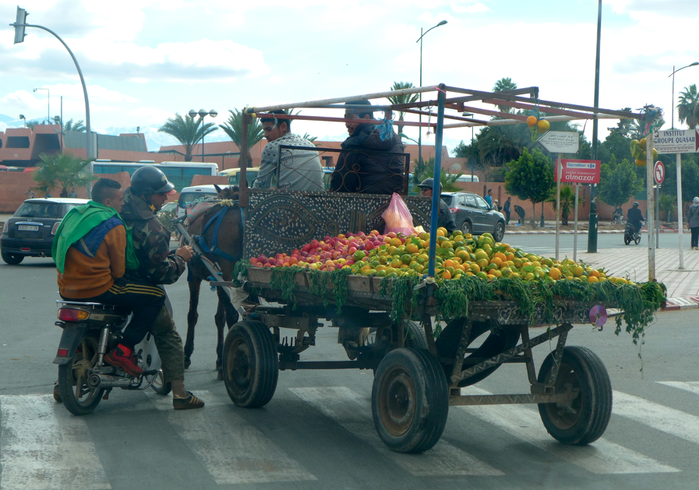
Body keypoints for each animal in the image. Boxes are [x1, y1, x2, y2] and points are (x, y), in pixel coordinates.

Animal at [182, 184, 245, 378]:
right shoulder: (217, 277)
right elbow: (219, 317)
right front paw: (218, 358)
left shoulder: (193, 275)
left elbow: (192, 314)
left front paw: (186, 354)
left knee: (232, 314)